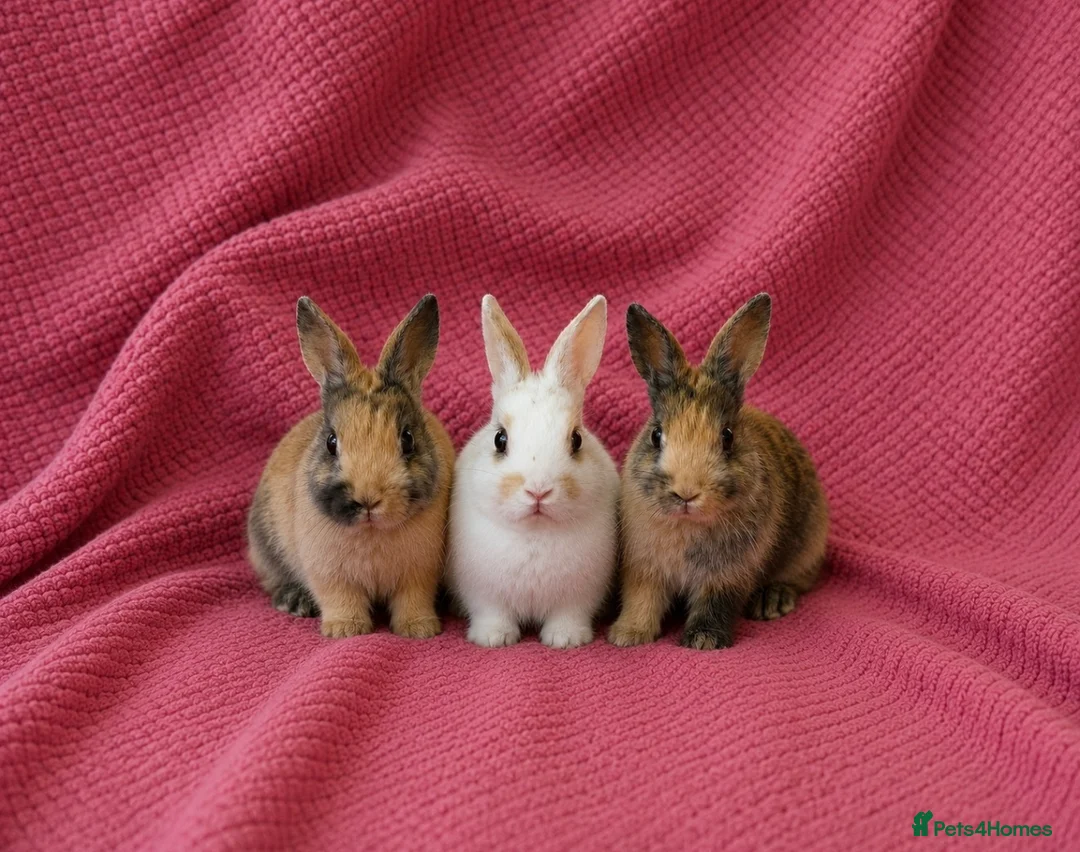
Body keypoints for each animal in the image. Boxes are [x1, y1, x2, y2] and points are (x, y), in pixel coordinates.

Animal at [247, 294, 455, 639]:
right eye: (331, 442)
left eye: (408, 439)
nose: (368, 500)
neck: (371, 531)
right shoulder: (329, 575)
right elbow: (341, 600)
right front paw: (345, 631)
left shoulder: (420, 574)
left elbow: (412, 600)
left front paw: (419, 629)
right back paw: (295, 602)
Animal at [447, 294, 620, 649]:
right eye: (500, 439)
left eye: (576, 439)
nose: (538, 491)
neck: (535, 532)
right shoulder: (484, 595)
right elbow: (492, 614)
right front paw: (494, 639)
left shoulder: (579, 598)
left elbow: (568, 616)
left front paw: (566, 640)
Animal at [608, 293, 828, 650]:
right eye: (656, 434)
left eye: (727, 436)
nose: (686, 492)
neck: (688, 524)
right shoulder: (643, 568)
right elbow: (642, 600)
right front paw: (628, 635)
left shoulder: (728, 575)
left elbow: (715, 604)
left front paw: (703, 641)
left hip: (808, 545)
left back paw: (773, 600)